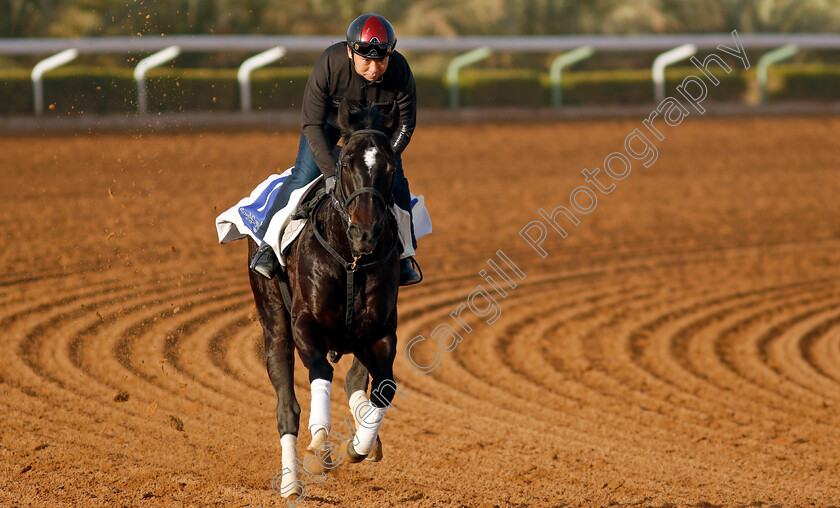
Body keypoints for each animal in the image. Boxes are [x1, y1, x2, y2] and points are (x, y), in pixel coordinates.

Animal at [248, 101, 402, 498]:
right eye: (346, 162)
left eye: (390, 166)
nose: (365, 232)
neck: (351, 260)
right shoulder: (306, 324)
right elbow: (321, 373)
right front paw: (320, 448)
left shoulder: (381, 332)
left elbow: (384, 386)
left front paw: (361, 444)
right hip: (274, 323)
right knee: (287, 406)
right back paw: (290, 482)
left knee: (355, 381)